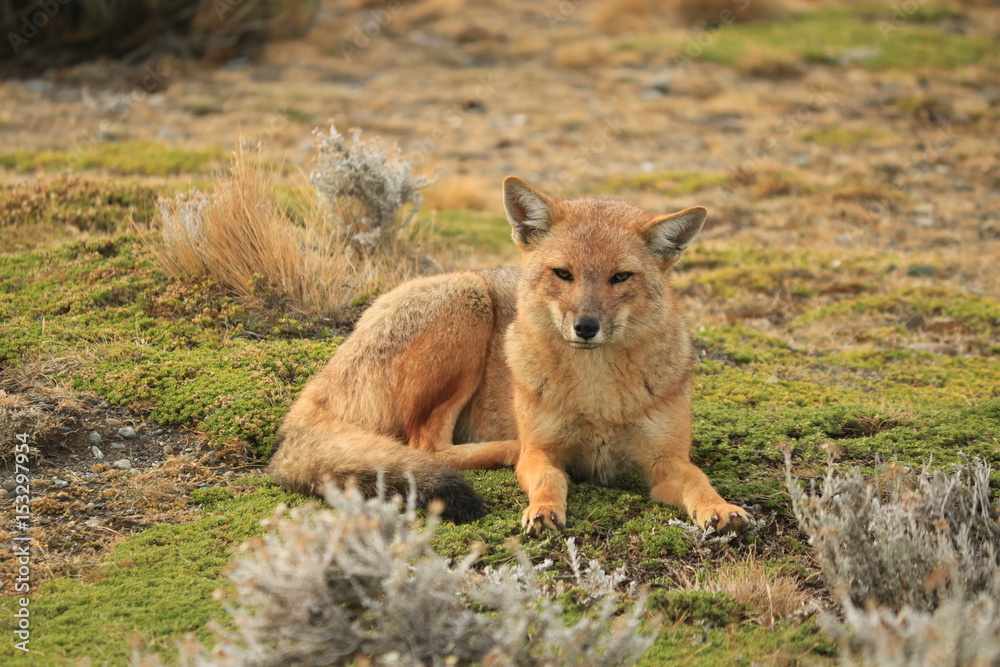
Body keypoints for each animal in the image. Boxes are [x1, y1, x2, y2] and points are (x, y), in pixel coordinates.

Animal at [268, 176, 752, 534]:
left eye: (620, 278)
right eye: (564, 274)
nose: (586, 327)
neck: (597, 398)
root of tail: (317, 385)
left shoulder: (666, 461)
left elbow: (698, 479)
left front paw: (720, 508)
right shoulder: (545, 452)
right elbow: (549, 477)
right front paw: (544, 509)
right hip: (469, 300)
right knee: (426, 448)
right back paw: (507, 447)